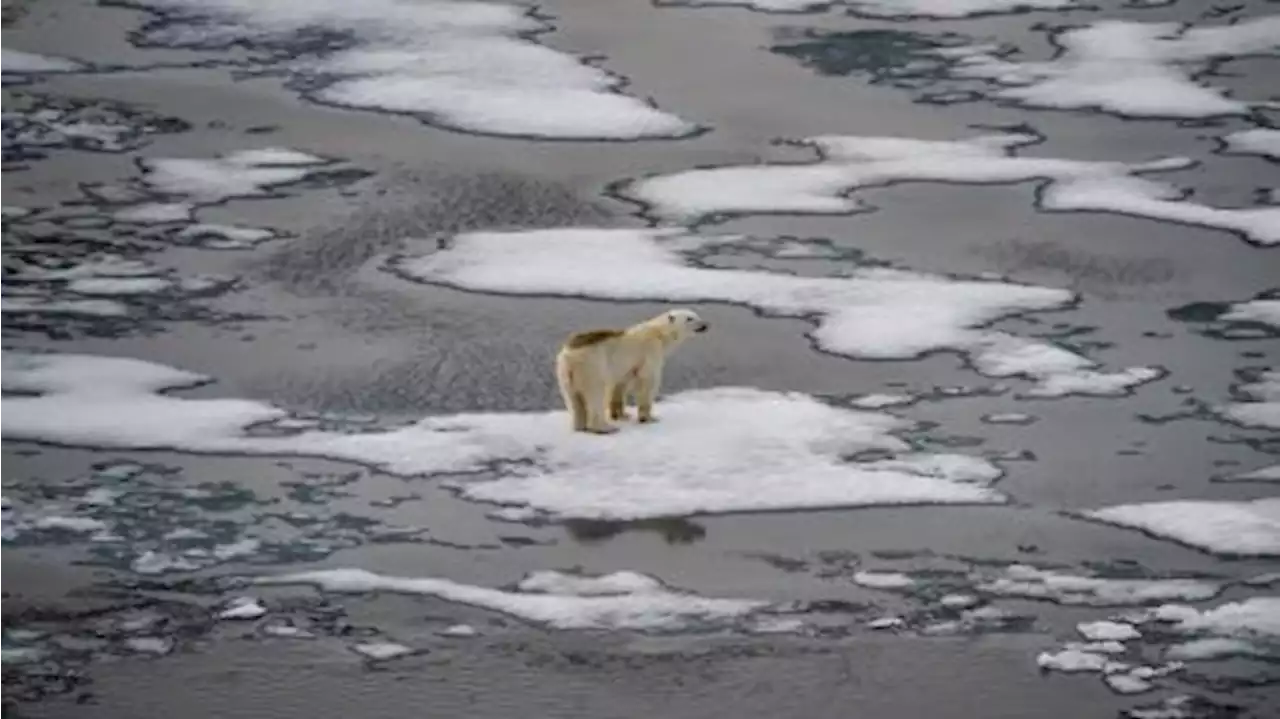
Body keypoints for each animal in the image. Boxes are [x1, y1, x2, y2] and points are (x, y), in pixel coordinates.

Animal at [552, 307, 711, 429]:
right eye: (689, 318)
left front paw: (621, 415)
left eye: (696, 315)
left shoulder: (625, 368)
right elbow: (648, 381)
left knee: (572, 398)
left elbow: (619, 386)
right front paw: (649, 418)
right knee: (595, 393)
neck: (659, 334)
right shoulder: (650, 352)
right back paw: (605, 428)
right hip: (592, 366)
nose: (705, 324)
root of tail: (569, 355)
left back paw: (579, 425)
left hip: (564, 372)